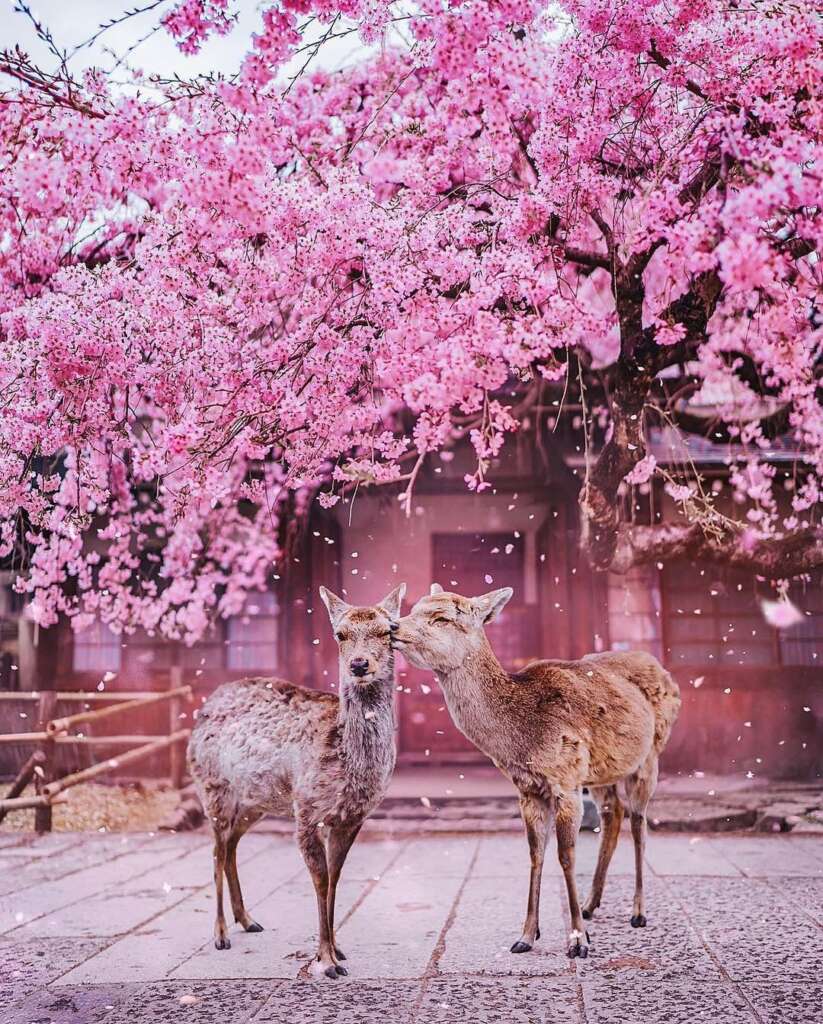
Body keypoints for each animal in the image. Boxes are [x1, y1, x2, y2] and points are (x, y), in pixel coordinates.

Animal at [187, 585, 405, 974]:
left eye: (388, 631)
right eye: (340, 634)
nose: (359, 664)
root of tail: (206, 705)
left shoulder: (352, 817)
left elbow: (335, 878)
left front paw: (339, 949)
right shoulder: (306, 808)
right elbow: (320, 880)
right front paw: (326, 961)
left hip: (256, 800)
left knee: (231, 845)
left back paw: (248, 920)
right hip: (212, 787)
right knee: (215, 850)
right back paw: (221, 934)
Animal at [393, 585, 679, 958]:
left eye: (441, 618)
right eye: (413, 608)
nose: (392, 626)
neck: (523, 739)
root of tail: (662, 669)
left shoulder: (566, 779)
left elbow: (566, 855)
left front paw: (578, 941)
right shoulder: (527, 788)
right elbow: (535, 853)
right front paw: (527, 936)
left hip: (649, 758)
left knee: (639, 823)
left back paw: (638, 912)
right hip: (601, 771)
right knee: (613, 814)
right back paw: (591, 904)